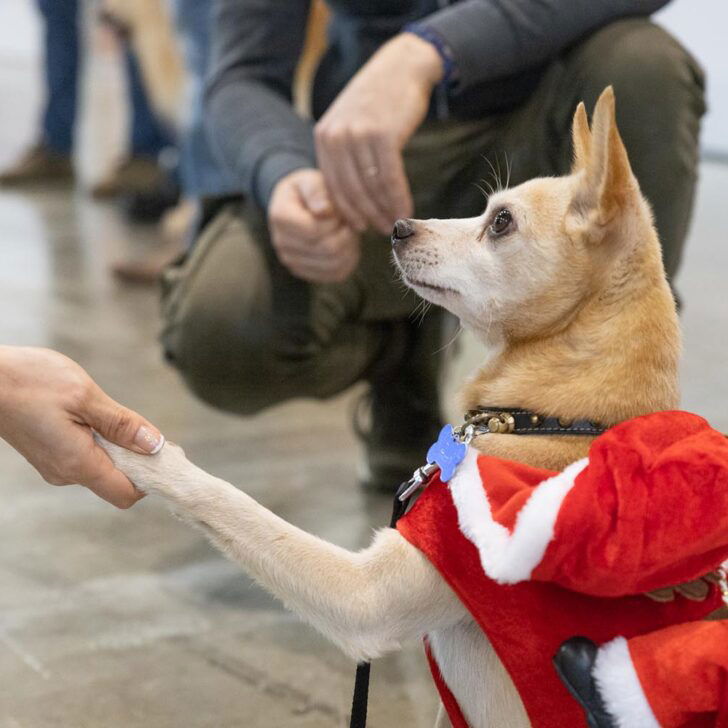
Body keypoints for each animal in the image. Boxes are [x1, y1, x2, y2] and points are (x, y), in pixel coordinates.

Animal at [101, 86, 684, 728]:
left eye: (501, 222)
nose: (399, 226)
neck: (550, 422)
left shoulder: (367, 598)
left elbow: (230, 501)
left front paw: (130, 450)